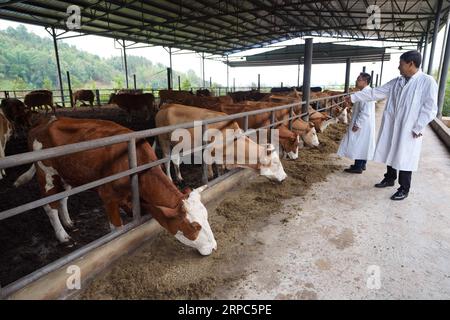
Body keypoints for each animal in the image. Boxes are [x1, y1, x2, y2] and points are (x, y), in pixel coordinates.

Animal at [13, 116, 217, 254]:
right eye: (195, 227)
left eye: (207, 217)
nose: (214, 247)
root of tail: (43, 123)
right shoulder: (108, 196)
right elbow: (117, 228)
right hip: (46, 174)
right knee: (50, 206)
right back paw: (63, 236)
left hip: (67, 175)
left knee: (63, 199)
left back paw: (69, 223)